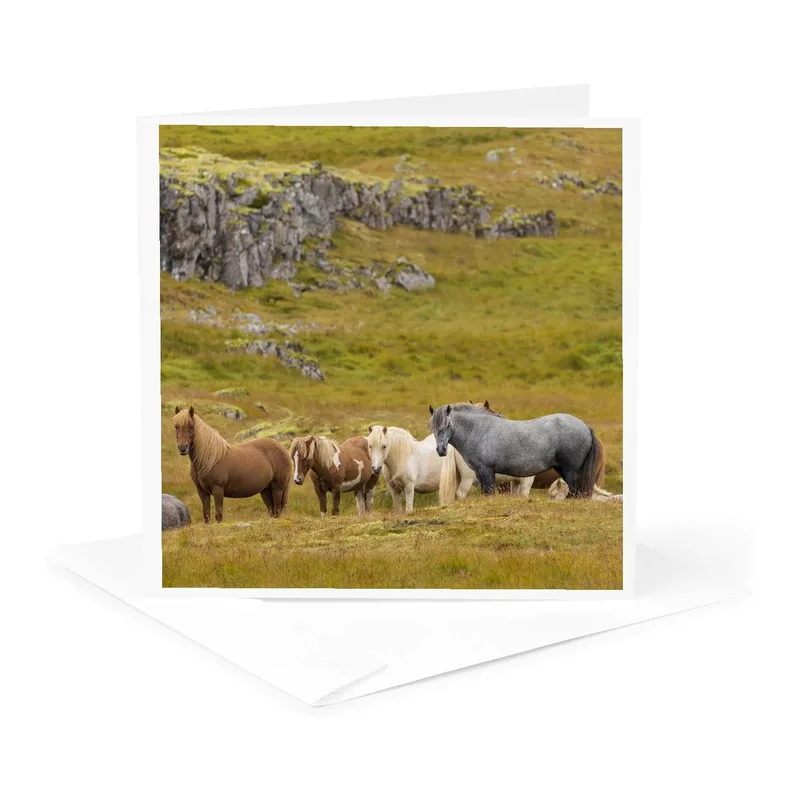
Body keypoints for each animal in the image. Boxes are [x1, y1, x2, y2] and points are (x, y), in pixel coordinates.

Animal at [429, 403, 599, 498]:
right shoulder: (480, 472)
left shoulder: (486, 471)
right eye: (432, 427)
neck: (478, 430)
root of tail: (585, 426)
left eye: (447, 425)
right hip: (562, 469)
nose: (441, 450)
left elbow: (489, 493)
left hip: (570, 470)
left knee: (574, 490)